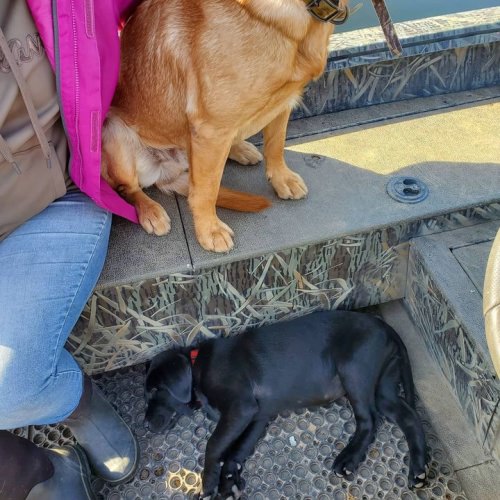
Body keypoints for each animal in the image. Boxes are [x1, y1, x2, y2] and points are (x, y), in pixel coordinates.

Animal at [101, 0, 348, 250]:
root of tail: (167, 174)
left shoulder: (283, 101)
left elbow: (275, 146)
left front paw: (282, 178)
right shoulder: (211, 128)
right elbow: (207, 191)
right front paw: (209, 229)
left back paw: (240, 148)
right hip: (115, 132)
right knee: (128, 188)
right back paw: (151, 211)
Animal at [144, 310, 426, 498]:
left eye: (156, 390)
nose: (145, 425)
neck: (197, 366)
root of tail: (383, 325)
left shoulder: (240, 408)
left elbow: (213, 445)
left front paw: (209, 484)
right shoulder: (256, 416)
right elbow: (236, 450)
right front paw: (229, 482)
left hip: (354, 369)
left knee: (369, 420)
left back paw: (348, 460)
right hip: (383, 386)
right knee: (408, 417)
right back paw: (419, 470)